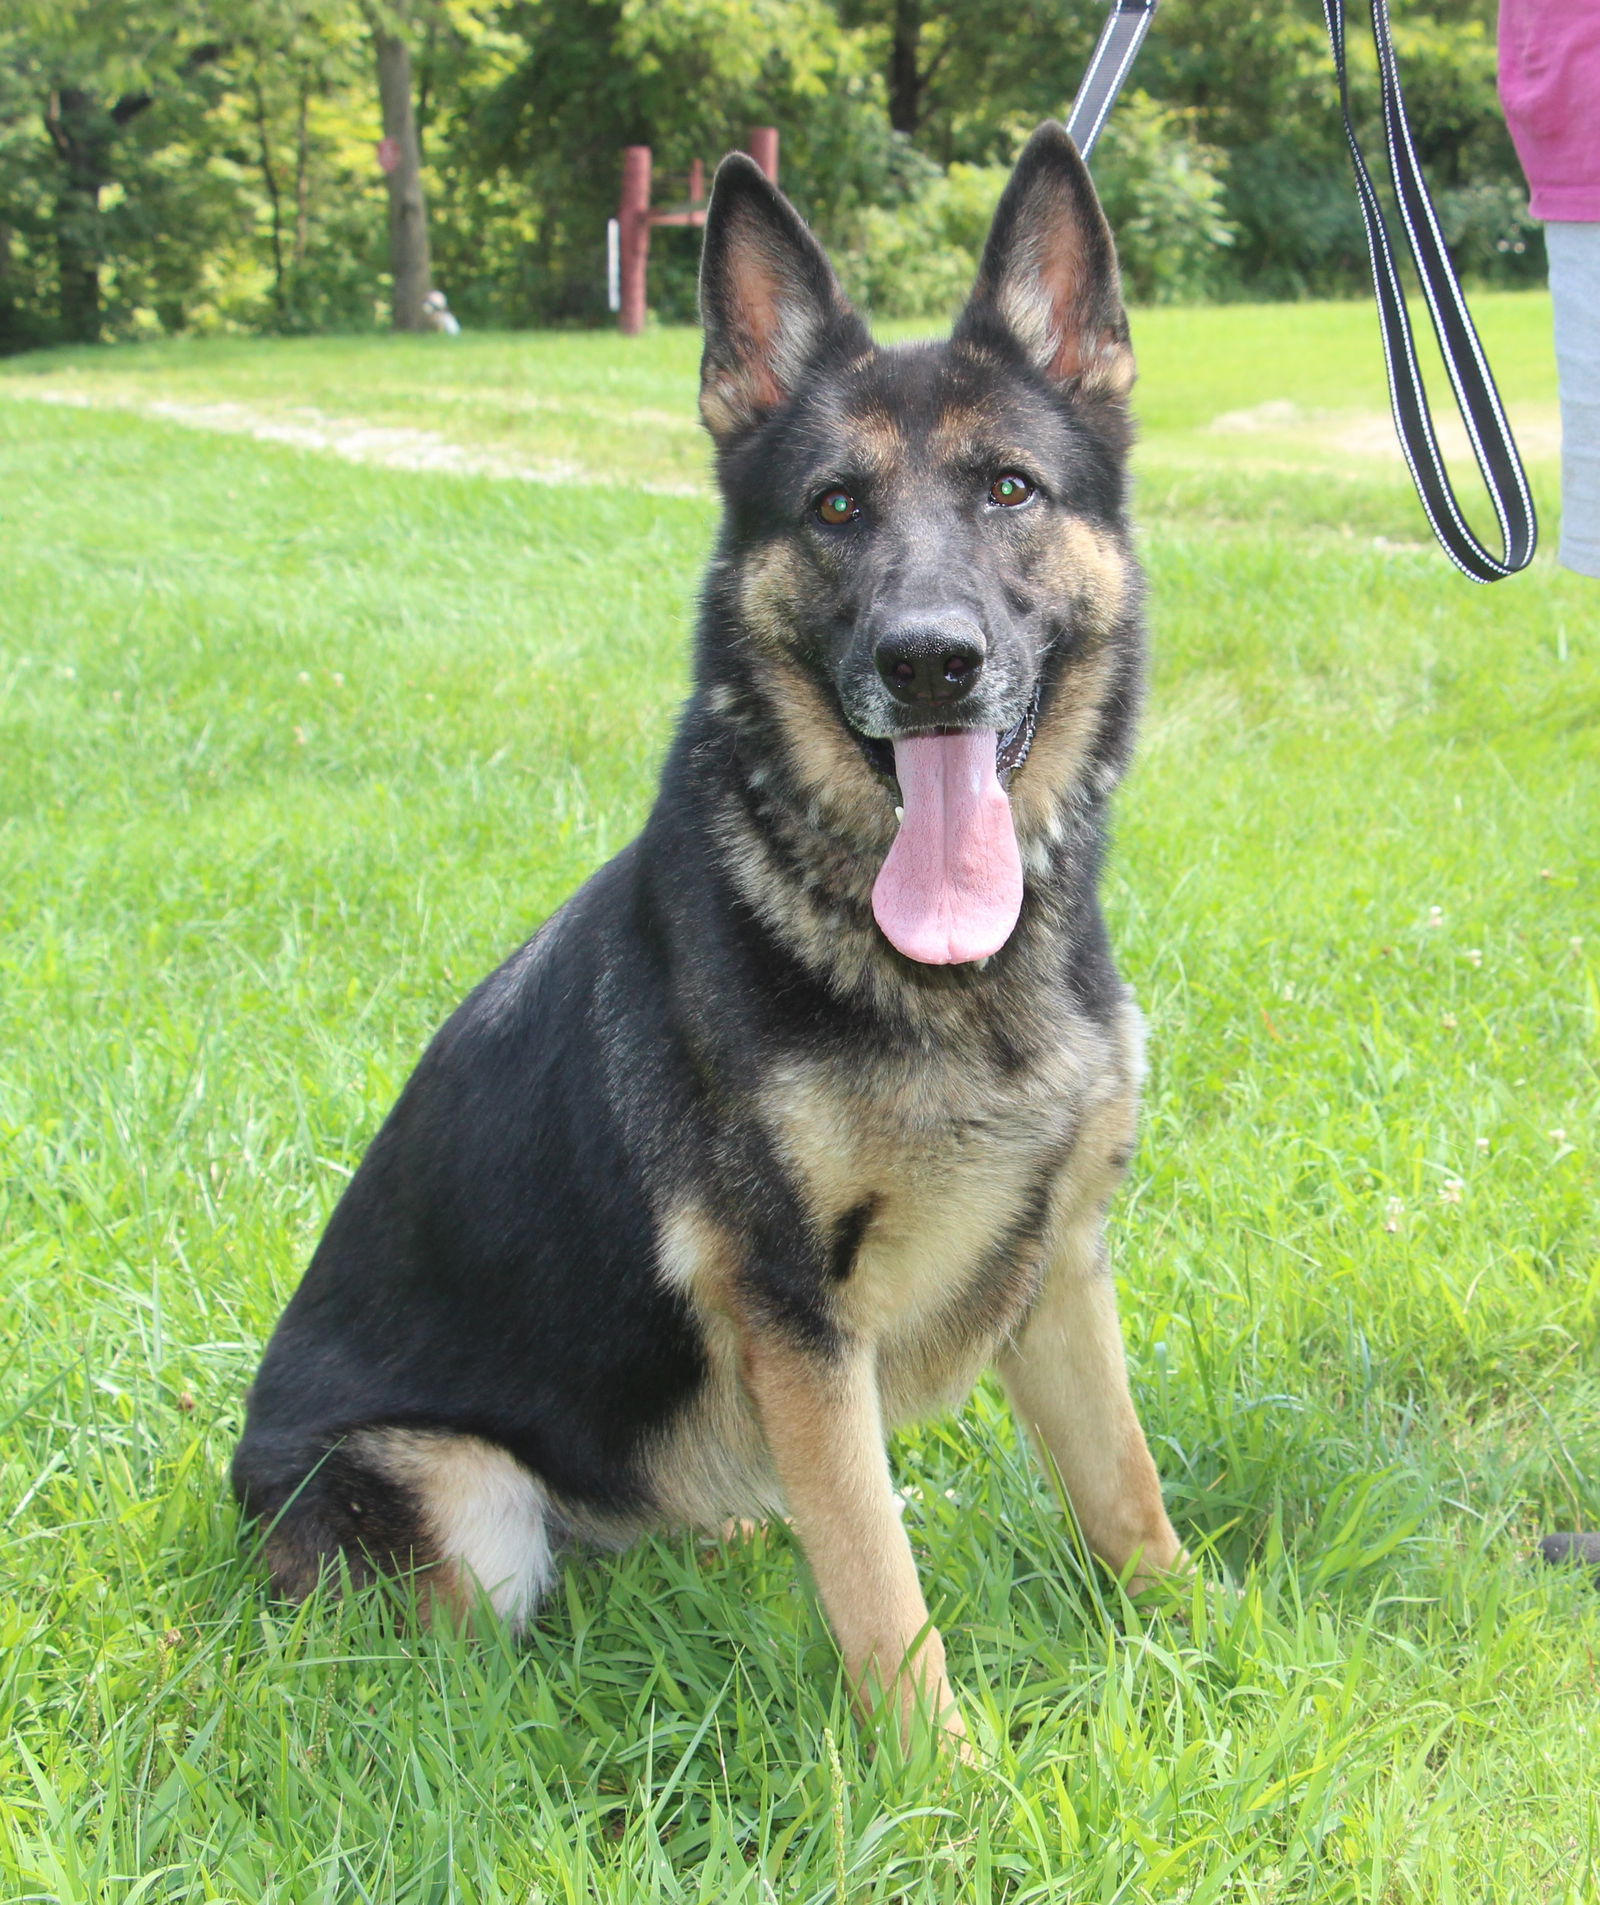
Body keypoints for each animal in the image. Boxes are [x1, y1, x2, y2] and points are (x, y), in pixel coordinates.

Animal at [234, 126, 1188, 1744]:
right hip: (468, 1508)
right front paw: (943, 1770)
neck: (937, 968)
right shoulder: (796, 1317)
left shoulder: (1058, 1267)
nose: (930, 664)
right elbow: (877, 1581)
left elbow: (1126, 1494)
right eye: (834, 509)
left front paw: (1209, 1647)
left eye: (1010, 489)